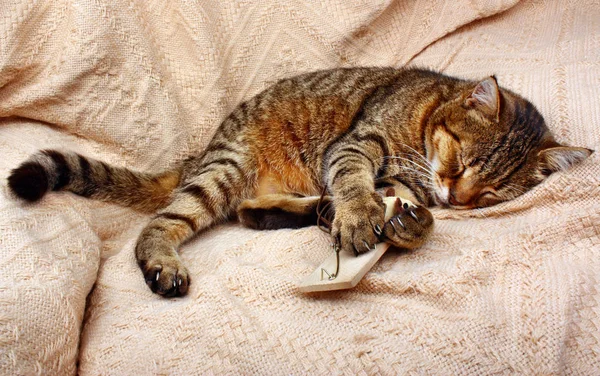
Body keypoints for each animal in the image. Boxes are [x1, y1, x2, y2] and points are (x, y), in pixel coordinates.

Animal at [7, 67, 592, 296]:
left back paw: (314, 212)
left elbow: (406, 207)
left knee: (251, 213)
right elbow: (355, 180)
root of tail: (203, 150)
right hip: (224, 172)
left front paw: (407, 223)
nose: (459, 197)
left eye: (490, 193)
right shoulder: (358, 144)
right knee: (159, 224)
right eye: (464, 162)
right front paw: (361, 213)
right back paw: (163, 264)